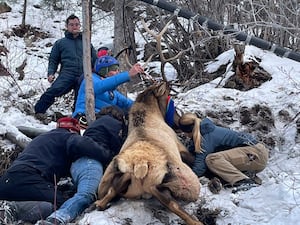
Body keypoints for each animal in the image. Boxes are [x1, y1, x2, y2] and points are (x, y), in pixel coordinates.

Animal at [92, 81, 204, 225]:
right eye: (168, 97)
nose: (178, 123)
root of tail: (141, 165)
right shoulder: (182, 149)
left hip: (117, 181)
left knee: (114, 188)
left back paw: (100, 203)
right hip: (190, 185)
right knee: (171, 201)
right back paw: (196, 221)